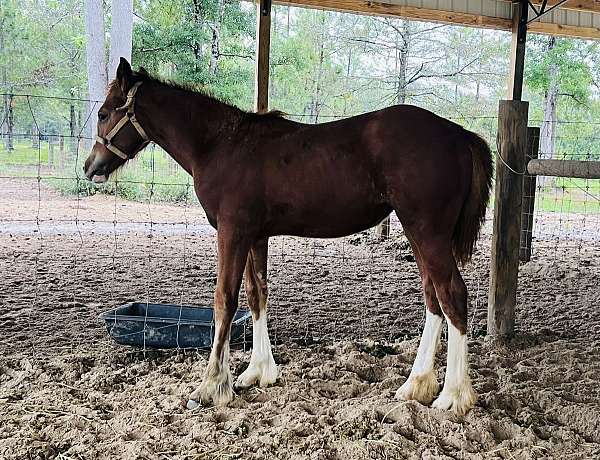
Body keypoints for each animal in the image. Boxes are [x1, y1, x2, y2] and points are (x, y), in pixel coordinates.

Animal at [86, 59, 494, 416]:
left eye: (103, 114)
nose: (91, 167)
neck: (221, 145)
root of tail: (460, 135)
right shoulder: (254, 236)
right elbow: (256, 295)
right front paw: (258, 372)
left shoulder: (232, 233)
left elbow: (225, 300)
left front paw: (211, 386)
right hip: (419, 234)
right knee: (433, 298)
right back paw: (417, 385)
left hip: (427, 232)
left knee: (453, 296)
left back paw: (454, 396)